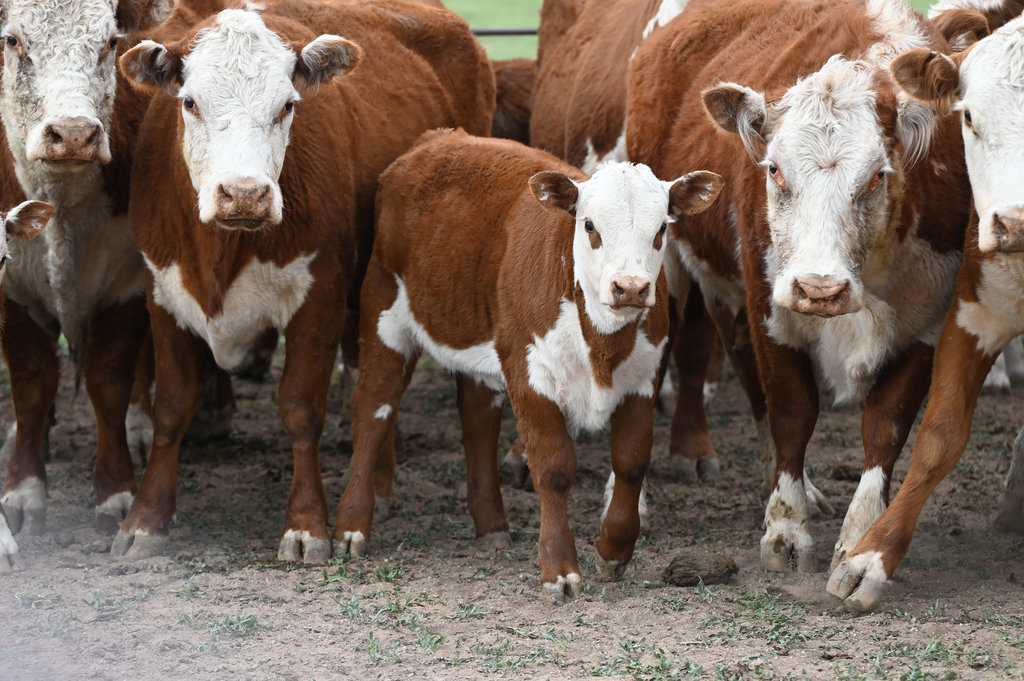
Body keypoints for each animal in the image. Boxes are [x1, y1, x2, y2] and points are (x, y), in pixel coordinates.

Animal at [0, 0, 180, 539]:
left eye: (110, 41)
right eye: (13, 40)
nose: (75, 134)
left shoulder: (129, 279)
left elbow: (109, 381)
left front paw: (116, 491)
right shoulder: (12, 288)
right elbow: (32, 382)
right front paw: (23, 489)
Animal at [110, 0, 495, 562]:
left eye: (288, 105)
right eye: (190, 102)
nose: (244, 194)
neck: (222, 250)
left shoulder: (320, 299)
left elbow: (300, 408)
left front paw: (307, 525)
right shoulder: (163, 291)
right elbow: (172, 407)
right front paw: (146, 520)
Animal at [332, 128, 722, 601]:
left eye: (662, 227)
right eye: (589, 225)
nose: (630, 287)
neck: (600, 342)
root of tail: (435, 140)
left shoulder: (643, 377)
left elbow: (631, 462)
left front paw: (613, 551)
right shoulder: (530, 373)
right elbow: (554, 468)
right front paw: (559, 569)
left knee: (478, 420)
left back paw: (491, 524)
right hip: (383, 313)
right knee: (373, 413)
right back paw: (351, 528)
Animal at [626, 0, 981, 575]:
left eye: (878, 176)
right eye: (773, 168)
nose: (819, 289)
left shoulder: (926, 322)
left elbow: (885, 427)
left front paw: (857, 537)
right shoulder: (773, 308)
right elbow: (792, 412)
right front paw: (785, 529)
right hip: (667, 270)